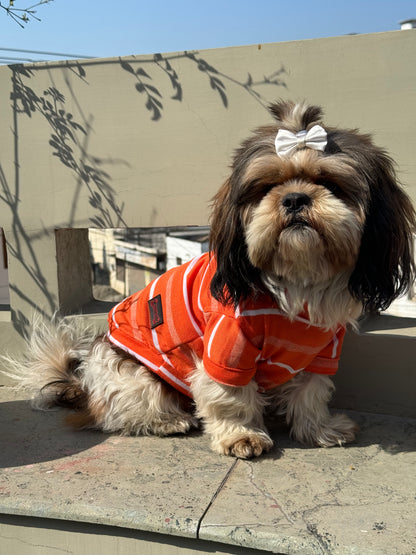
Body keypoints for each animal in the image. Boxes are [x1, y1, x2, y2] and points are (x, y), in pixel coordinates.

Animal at [4, 101, 414, 460]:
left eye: (329, 182)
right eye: (266, 186)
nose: (295, 198)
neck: (297, 280)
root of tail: (83, 384)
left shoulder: (323, 351)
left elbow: (311, 393)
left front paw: (320, 429)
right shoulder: (227, 345)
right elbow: (230, 395)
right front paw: (242, 436)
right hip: (134, 376)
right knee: (121, 412)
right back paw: (167, 421)